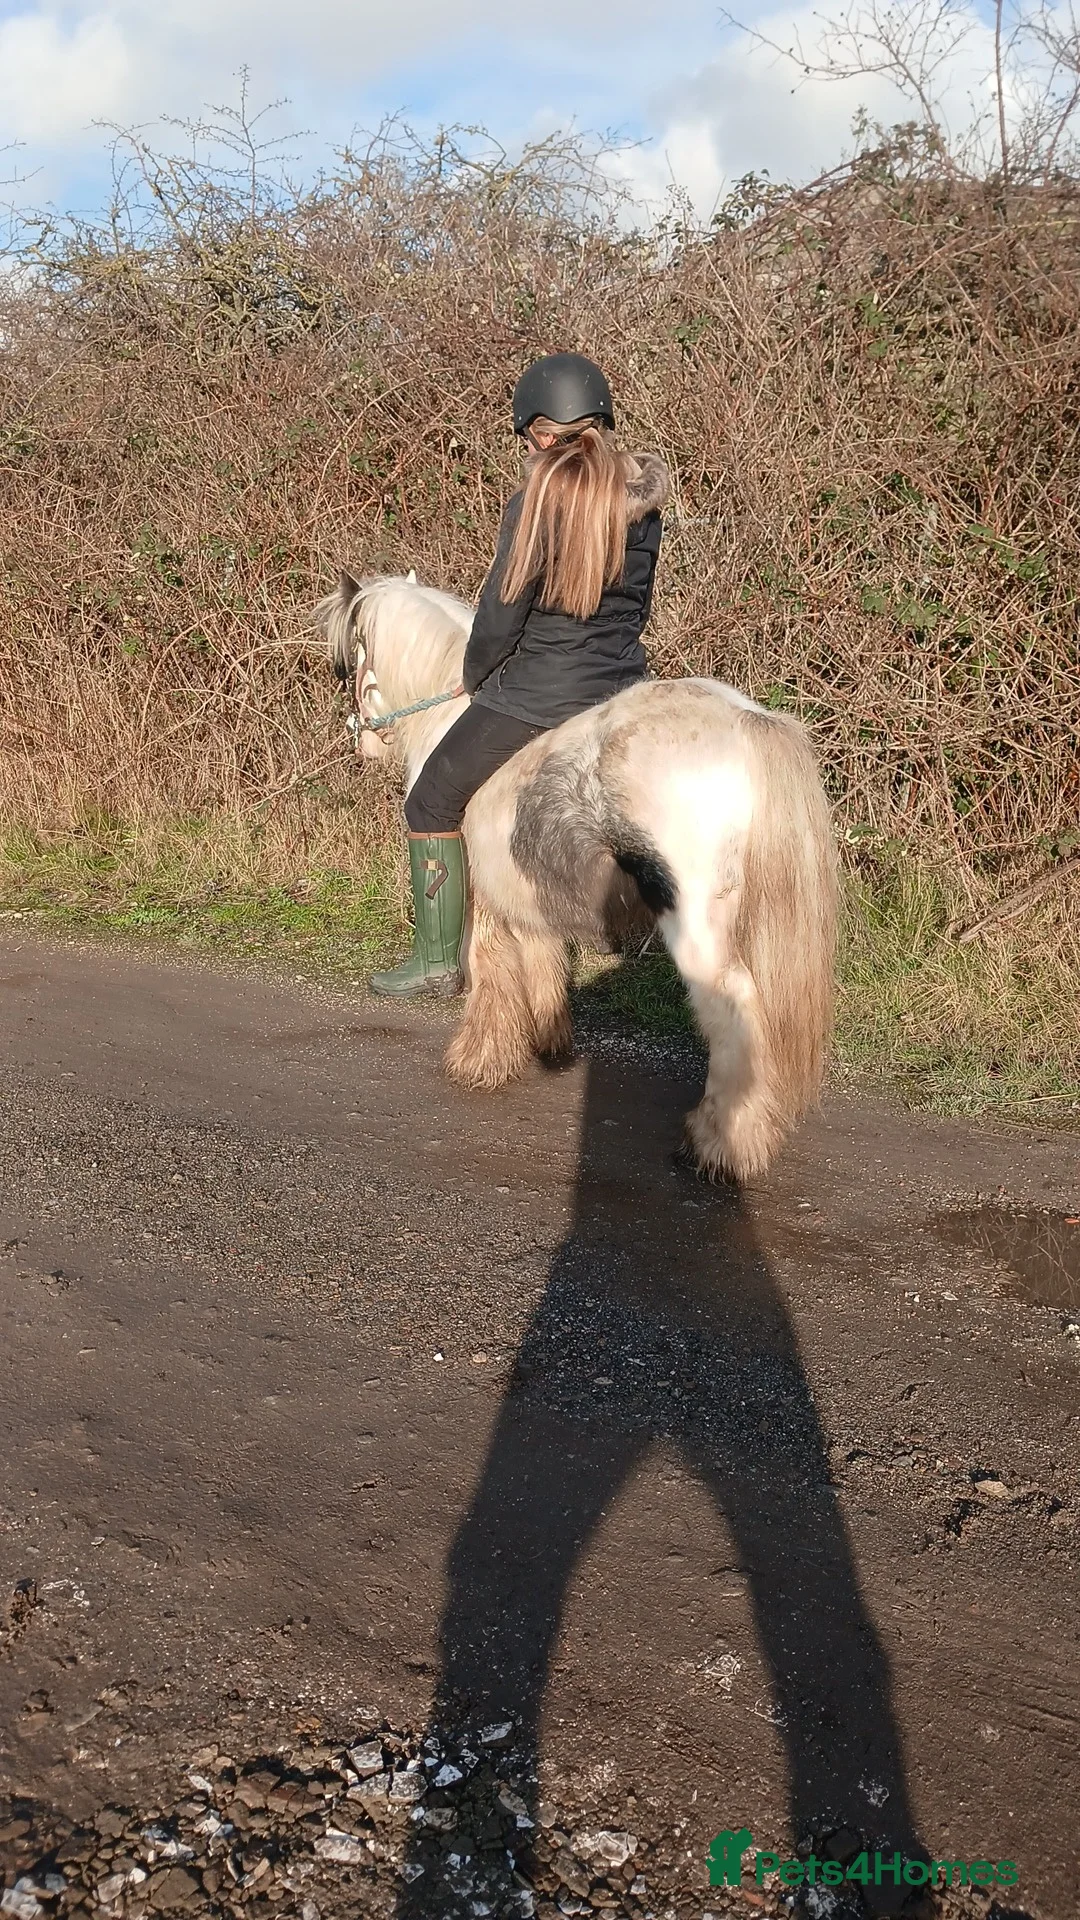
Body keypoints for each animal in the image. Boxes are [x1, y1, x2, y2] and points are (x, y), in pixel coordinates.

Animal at [315, 571, 837, 1182]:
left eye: (349, 661)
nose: (362, 738)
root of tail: (746, 719)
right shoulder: (522, 897)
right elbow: (542, 964)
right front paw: (546, 1041)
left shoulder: (479, 893)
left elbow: (486, 967)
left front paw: (478, 1058)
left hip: (697, 927)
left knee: (736, 1013)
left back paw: (717, 1145)